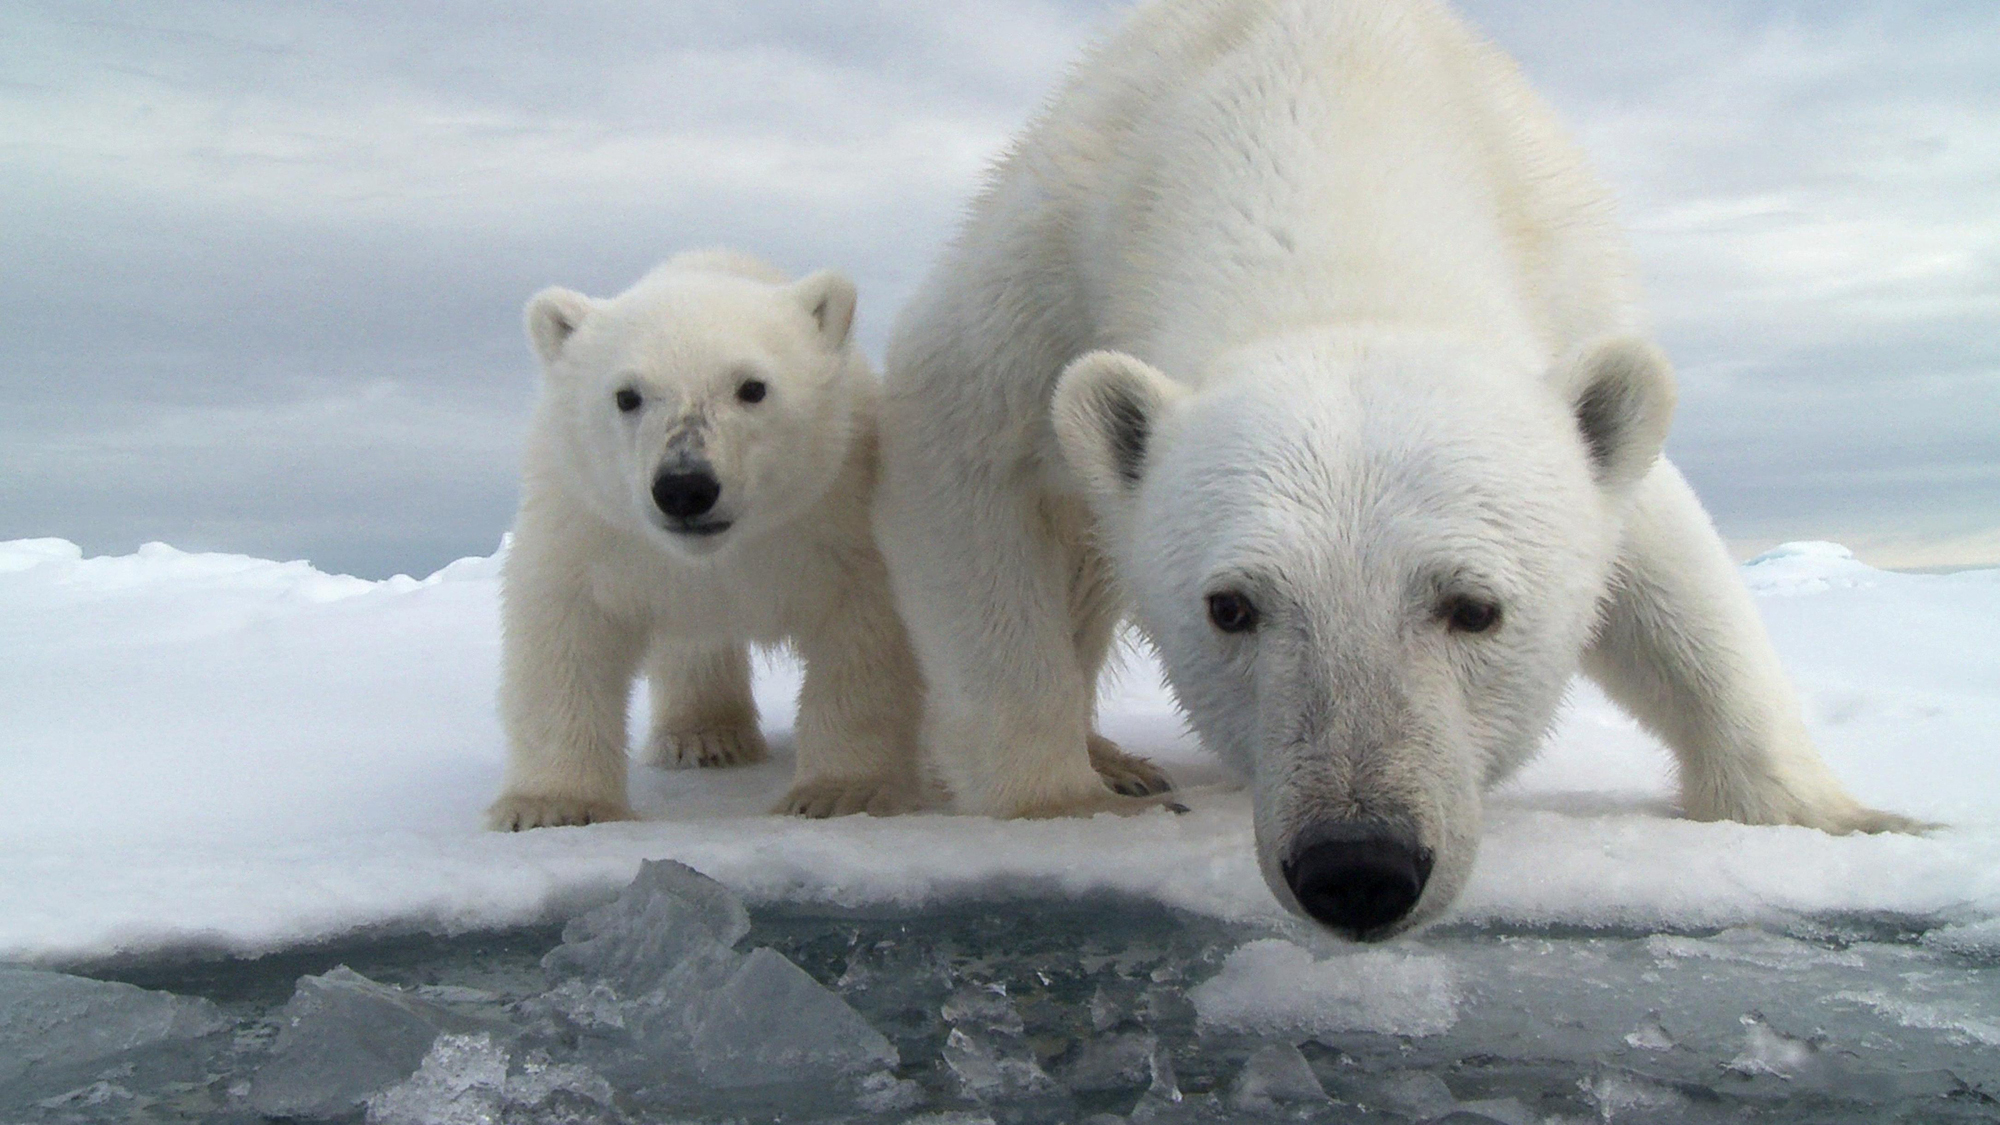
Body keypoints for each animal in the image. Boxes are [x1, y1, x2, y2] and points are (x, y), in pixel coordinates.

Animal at [488, 250, 923, 831]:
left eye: (753, 387)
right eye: (627, 395)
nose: (685, 487)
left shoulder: (835, 518)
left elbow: (863, 636)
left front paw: (840, 793)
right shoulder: (592, 528)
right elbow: (566, 634)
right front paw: (551, 806)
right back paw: (705, 738)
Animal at [870, 0, 1921, 938]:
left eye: (1476, 605)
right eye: (1231, 606)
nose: (1358, 866)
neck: (1331, 104)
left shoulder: (1564, 289)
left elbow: (1667, 565)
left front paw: (1847, 817)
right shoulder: (1053, 262)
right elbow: (963, 455)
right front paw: (1061, 802)